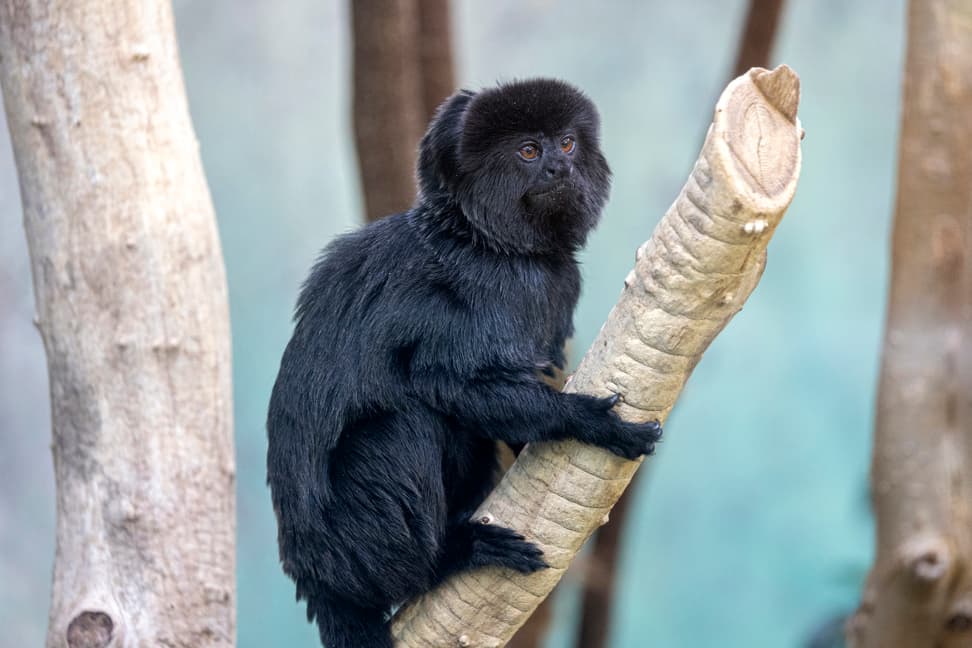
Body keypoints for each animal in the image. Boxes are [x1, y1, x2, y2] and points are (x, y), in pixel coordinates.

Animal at [266, 78, 660, 644]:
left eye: (566, 144)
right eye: (529, 152)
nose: (558, 170)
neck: (488, 243)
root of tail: (315, 579)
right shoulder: (468, 297)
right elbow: (454, 385)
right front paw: (592, 423)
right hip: (354, 553)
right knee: (401, 427)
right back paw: (447, 558)